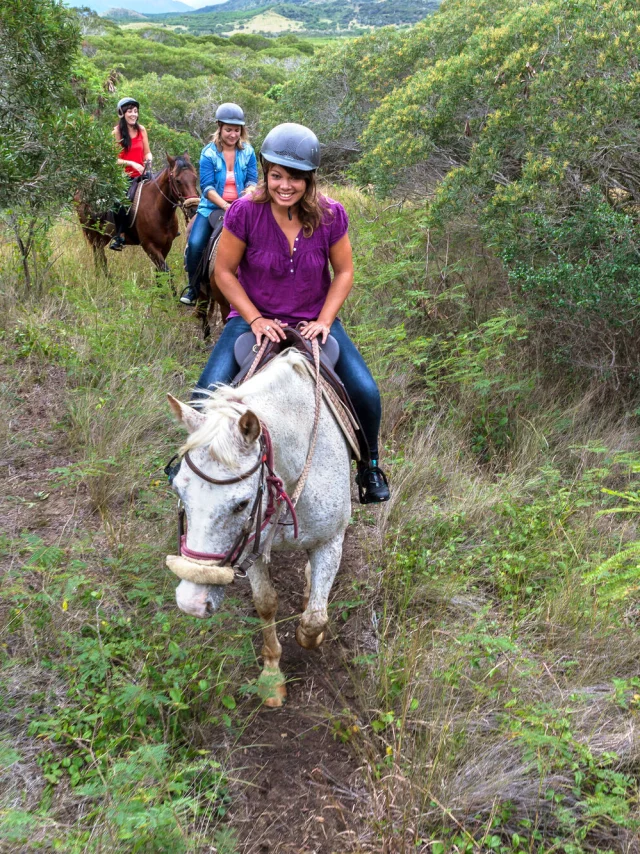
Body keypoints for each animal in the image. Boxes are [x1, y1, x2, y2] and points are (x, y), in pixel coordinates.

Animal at [165, 350, 350, 708]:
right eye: (179, 491)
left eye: (242, 503)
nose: (191, 603)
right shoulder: (249, 545)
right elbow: (266, 603)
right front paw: (271, 676)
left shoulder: (332, 540)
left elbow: (313, 621)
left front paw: (312, 631)